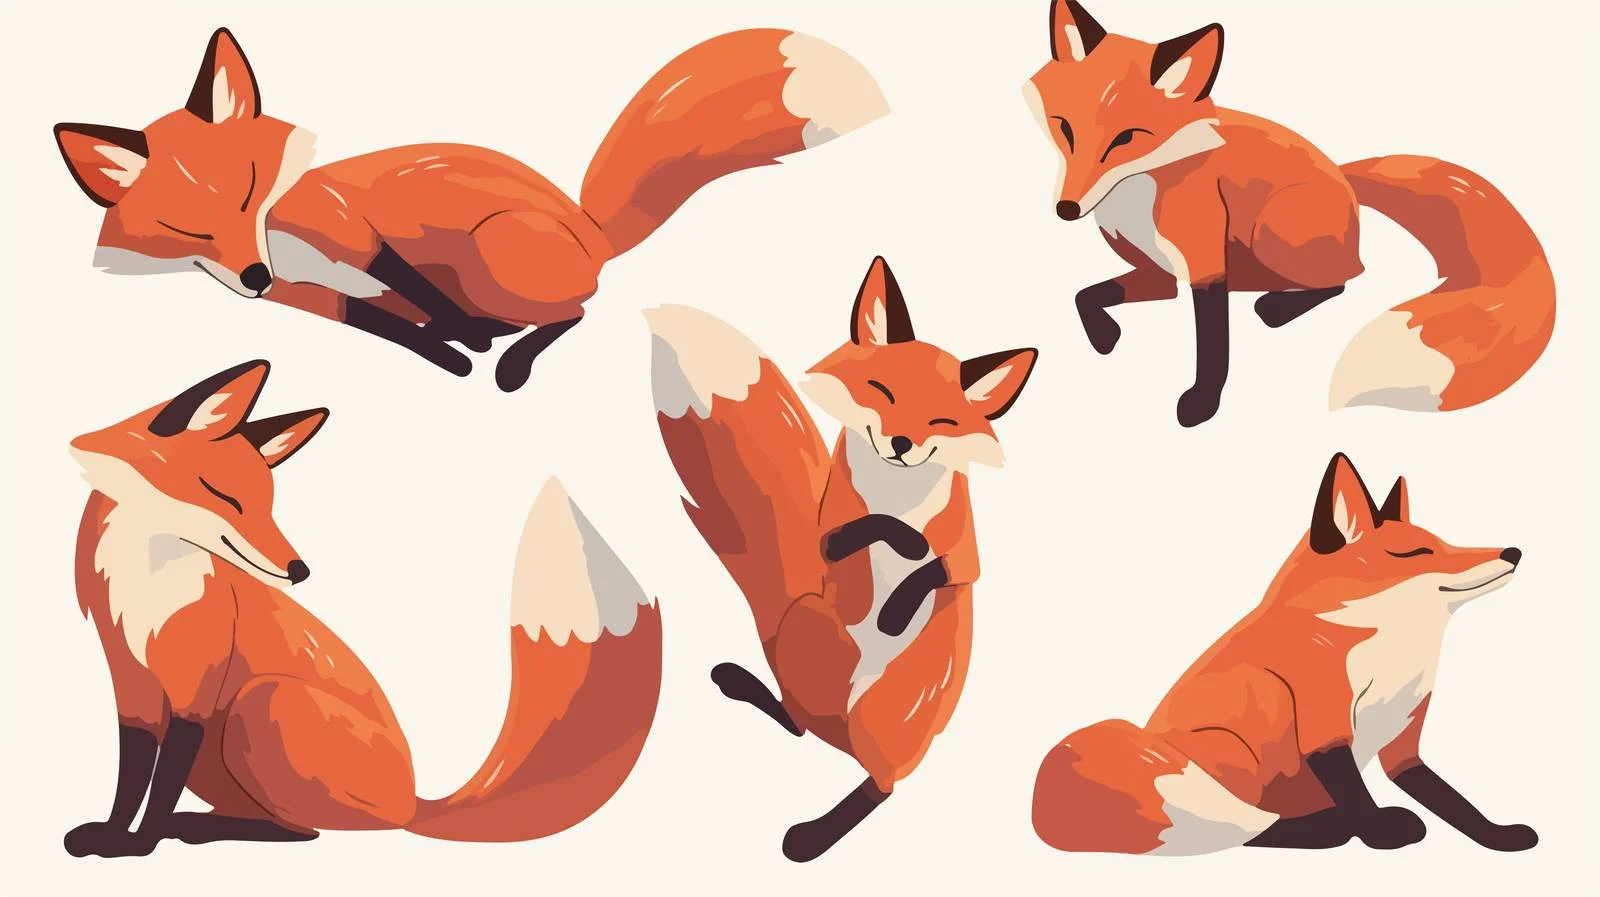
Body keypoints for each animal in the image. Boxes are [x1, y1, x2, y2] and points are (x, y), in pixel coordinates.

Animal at [54, 27, 886, 391]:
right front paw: (452, 354)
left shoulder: (361, 237)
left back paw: (512, 358)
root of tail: (586, 228)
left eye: (250, 184)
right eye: (183, 227)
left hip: (495, 255)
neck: (287, 246)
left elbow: (420, 296)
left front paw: (472, 345)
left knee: (578, 309)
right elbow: (399, 326)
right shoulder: (327, 300)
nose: (253, 278)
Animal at [65, 360, 660, 858]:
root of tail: (415, 802)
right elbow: (132, 773)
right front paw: (116, 835)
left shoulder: (197, 685)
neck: (149, 584)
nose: (300, 570)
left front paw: (141, 845)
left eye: (269, 503)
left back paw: (194, 829)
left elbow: (160, 780)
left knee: (305, 831)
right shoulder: (132, 681)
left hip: (261, 703)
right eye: (223, 496)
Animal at [646, 257, 1038, 861]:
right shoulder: (831, 536)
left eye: (942, 423)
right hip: (809, 630)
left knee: (880, 784)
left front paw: (897, 609)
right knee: (799, 725)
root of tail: (843, 730)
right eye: (882, 391)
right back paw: (747, 692)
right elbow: (872, 530)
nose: (901, 443)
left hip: (885, 714)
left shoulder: (968, 558)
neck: (896, 492)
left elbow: (932, 568)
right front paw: (900, 551)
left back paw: (814, 833)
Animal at [1026, 1, 1556, 426]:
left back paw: (1276, 309)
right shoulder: (1160, 271)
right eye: (1064, 128)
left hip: (1273, 232)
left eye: (1127, 138)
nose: (1067, 209)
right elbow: (1086, 296)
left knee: (1347, 278)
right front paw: (1105, 338)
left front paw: (1202, 404)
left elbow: (1213, 345)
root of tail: (1342, 176)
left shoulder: (1203, 263)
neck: (1139, 191)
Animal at [1031, 453, 1536, 855]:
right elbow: (1354, 790)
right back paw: (1330, 828)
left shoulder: (1404, 741)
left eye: (1446, 541)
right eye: (1415, 553)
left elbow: (1451, 800)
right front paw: (1378, 832)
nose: (1513, 552)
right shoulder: (1322, 720)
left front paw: (1498, 836)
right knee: (1251, 830)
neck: (1391, 649)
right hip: (1232, 752)